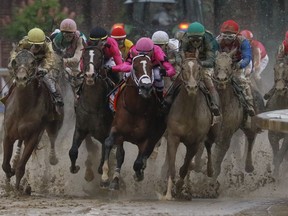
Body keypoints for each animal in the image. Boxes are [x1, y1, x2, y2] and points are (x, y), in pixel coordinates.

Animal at [1, 49, 63, 192]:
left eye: (32, 62)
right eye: (15, 61)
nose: (21, 79)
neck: (22, 108)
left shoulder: (33, 136)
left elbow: (21, 166)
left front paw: (19, 188)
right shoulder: (8, 134)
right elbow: (5, 164)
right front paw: (9, 175)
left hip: (53, 124)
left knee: (52, 139)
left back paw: (52, 158)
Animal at [69, 44, 115, 181]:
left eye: (100, 57)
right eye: (83, 57)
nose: (90, 75)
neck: (92, 107)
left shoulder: (105, 133)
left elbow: (105, 151)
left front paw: (101, 169)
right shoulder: (80, 129)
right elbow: (73, 151)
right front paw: (74, 168)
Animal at [100, 54, 165, 191]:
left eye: (151, 67)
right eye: (134, 67)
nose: (146, 87)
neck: (136, 109)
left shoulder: (147, 138)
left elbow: (139, 161)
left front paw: (139, 174)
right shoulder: (117, 130)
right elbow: (109, 144)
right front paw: (105, 177)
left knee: (147, 154)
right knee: (121, 155)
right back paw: (115, 179)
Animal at [160, 56, 220, 201]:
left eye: (199, 68)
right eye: (183, 68)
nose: (192, 87)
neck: (188, 112)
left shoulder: (195, 142)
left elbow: (185, 167)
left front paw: (180, 188)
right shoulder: (173, 137)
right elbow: (172, 166)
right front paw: (170, 192)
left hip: (212, 132)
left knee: (208, 146)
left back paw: (209, 170)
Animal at [212, 50, 266, 181]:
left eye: (230, 63)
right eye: (215, 62)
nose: (221, 79)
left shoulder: (225, 134)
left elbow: (218, 156)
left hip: (250, 124)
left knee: (251, 138)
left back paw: (248, 166)